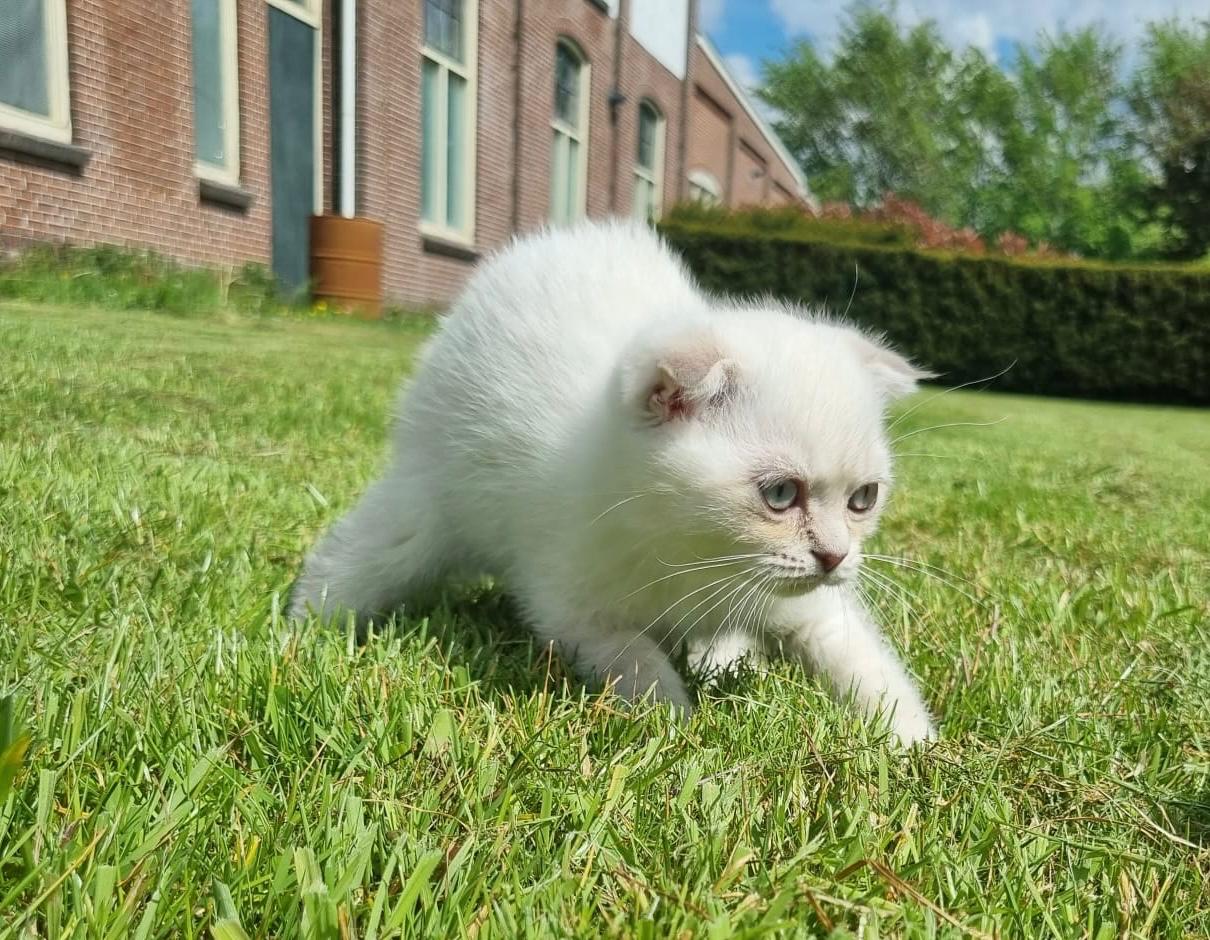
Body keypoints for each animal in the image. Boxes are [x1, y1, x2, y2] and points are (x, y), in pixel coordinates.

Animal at [290, 217, 934, 740]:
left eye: (863, 498)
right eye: (779, 494)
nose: (835, 556)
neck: (691, 555)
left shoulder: (805, 607)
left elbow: (858, 661)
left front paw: (916, 746)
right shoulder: (574, 607)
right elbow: (635, 659)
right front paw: (676, 727)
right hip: (430, 499)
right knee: (367, 554)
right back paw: (305, 630)